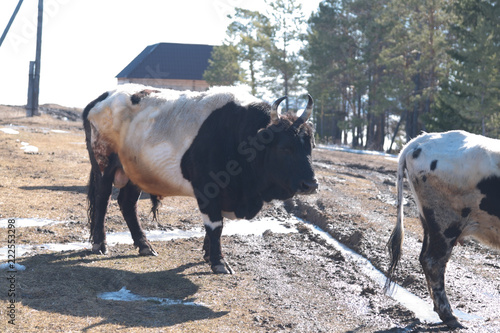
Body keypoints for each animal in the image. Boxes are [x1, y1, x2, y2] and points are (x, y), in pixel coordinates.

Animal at [81, 84, 316, 274]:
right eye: (285, 148)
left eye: (310, 146)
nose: (311, 184)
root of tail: (101, 98)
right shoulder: (207, 187)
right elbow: (215, 225)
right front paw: (218, 262)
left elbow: (216, 226)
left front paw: (208, 255)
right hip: (103, 165)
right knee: (102, 201)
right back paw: (100, 244)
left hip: (134, 173)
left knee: (128, 204)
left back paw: (144, 245)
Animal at [386, 129, 500, 326]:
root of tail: (420, 140)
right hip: (446, 222)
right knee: (433, 261)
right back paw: (450, 316)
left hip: (429, 221)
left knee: (425, 257)